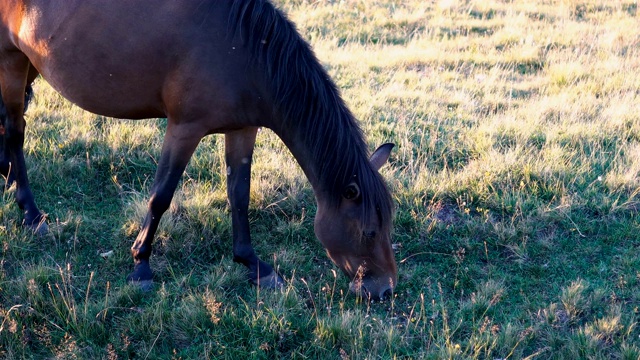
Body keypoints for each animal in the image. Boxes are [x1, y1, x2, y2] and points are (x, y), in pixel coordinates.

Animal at [0, 0, 398, 300]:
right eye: (370, 232)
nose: (385, 289)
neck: (246, 50)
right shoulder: (184, 129)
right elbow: (161, 196)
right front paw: (141, 265)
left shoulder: (242, 129)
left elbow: (239, 195)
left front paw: (254, 265)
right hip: (12, 61)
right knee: (16, 132)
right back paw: (30, 212)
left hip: (31, 63)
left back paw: (7, 178)